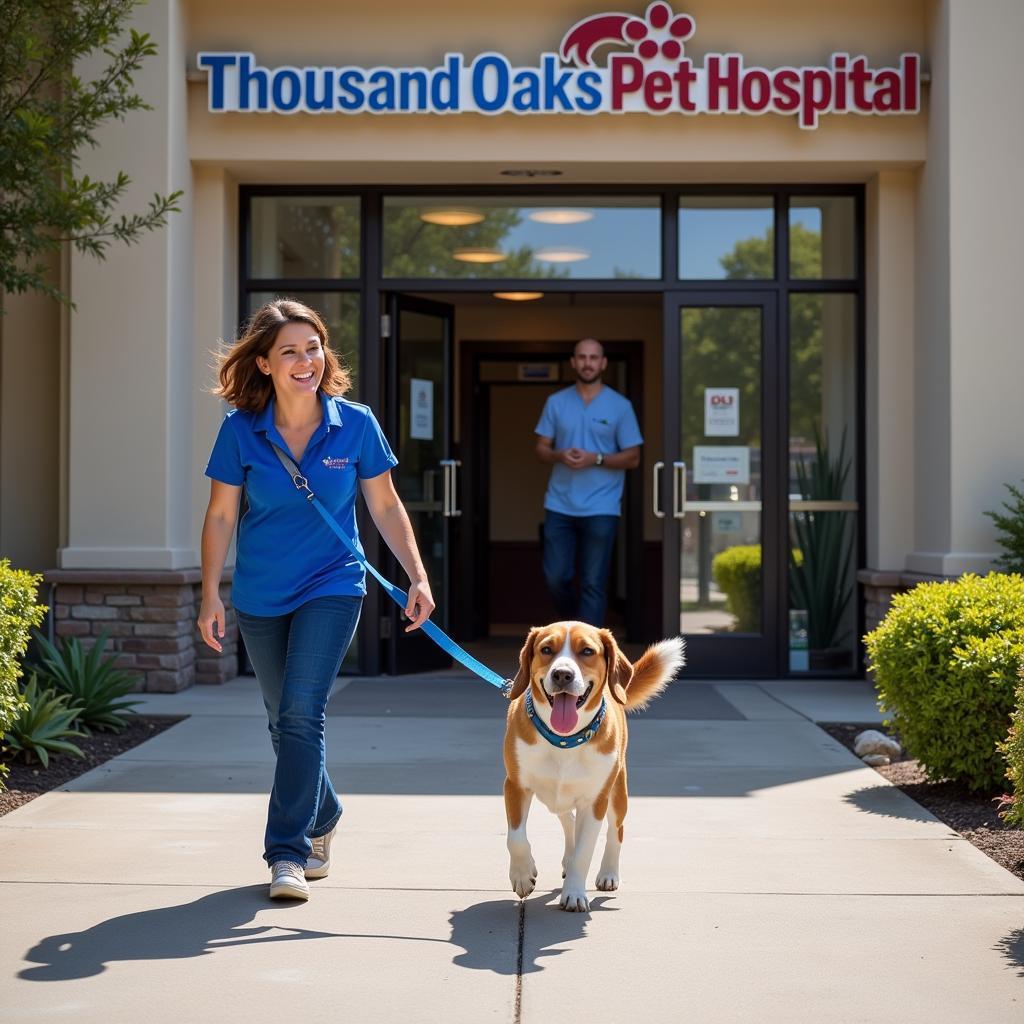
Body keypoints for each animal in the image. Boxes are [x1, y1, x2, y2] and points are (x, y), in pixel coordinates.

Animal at [499, 622, 684, 913]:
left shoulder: (596, 800)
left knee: (616, 831)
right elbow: (516, 838)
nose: (562, 674)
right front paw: (522, 874)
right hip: (554, 796)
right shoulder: (515, 786)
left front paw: (574, 893)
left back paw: (608, 872)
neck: (564, 739)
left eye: (587, 651)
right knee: (567, 819)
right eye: (546, 649)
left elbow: (584, 852)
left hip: (617, 792)